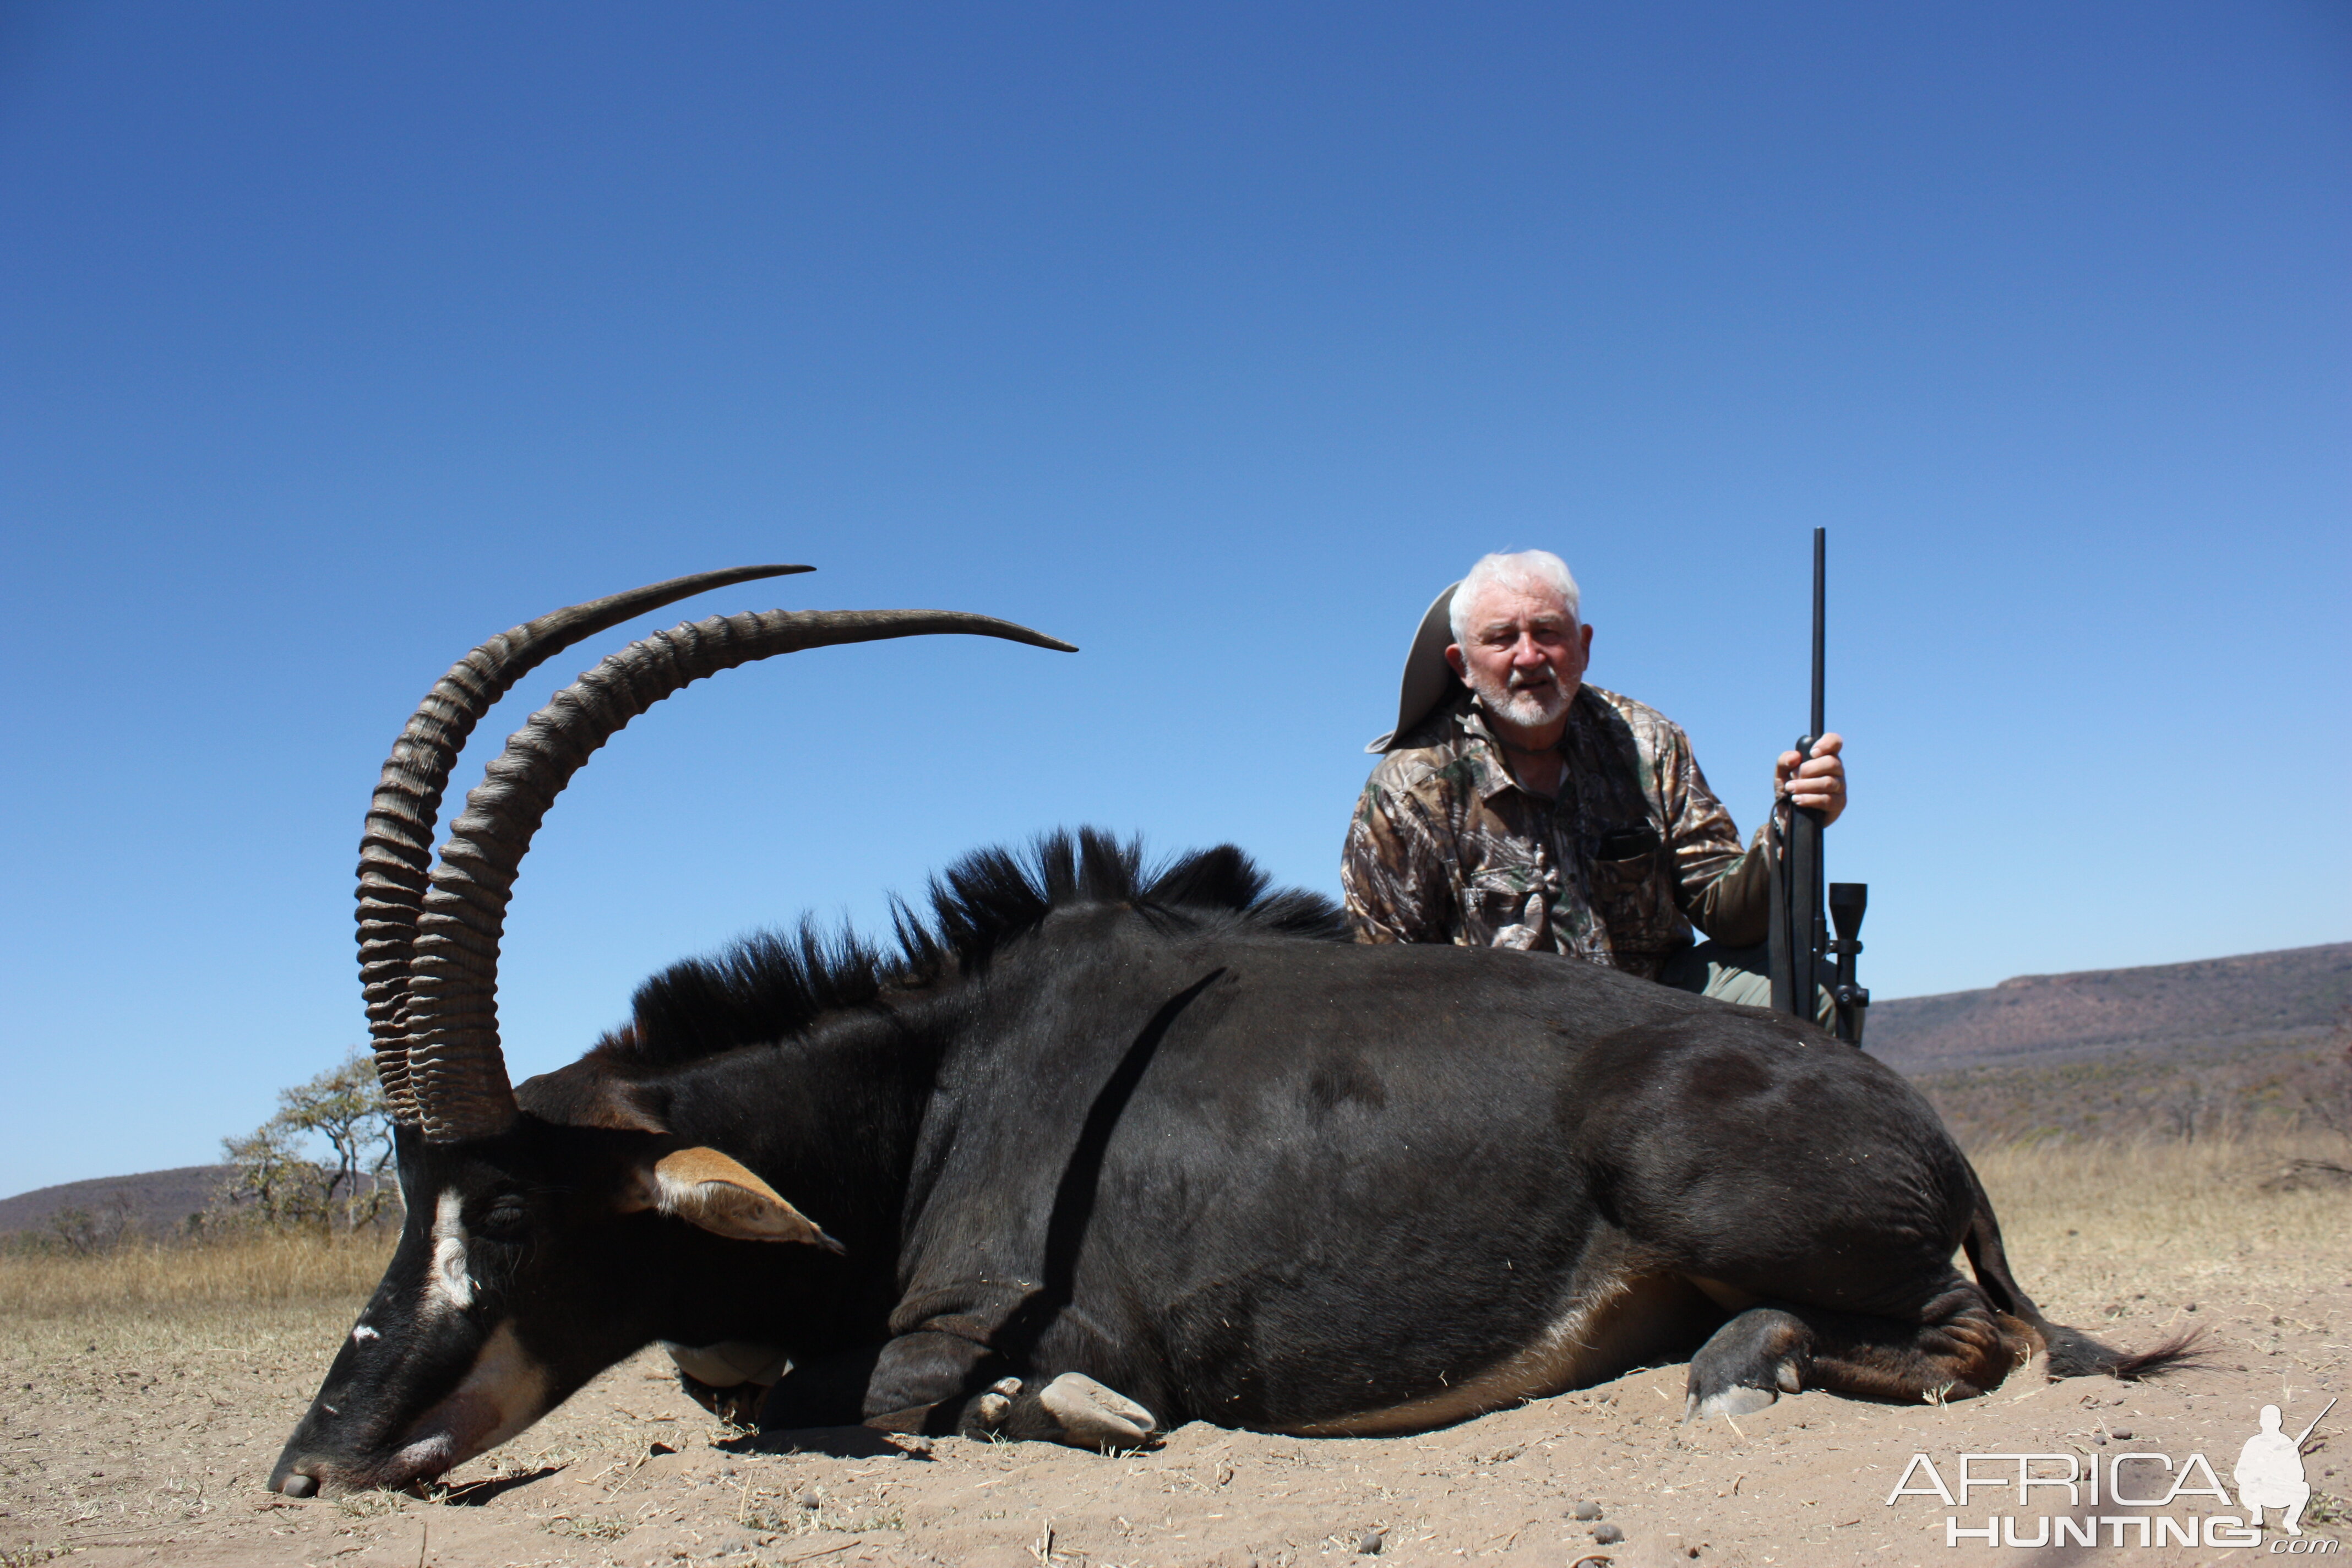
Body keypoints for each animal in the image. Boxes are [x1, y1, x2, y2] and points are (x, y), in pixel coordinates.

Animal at [270, 567, 2182, 1495]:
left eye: (516, 1213)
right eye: (406, 1208)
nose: (311, 1466)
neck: (937, 1086)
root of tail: (1922, 1125)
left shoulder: (999, 1323)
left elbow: (854, 1400)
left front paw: (1074, 1415)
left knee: (1971, 1334)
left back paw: (1741, 1369)